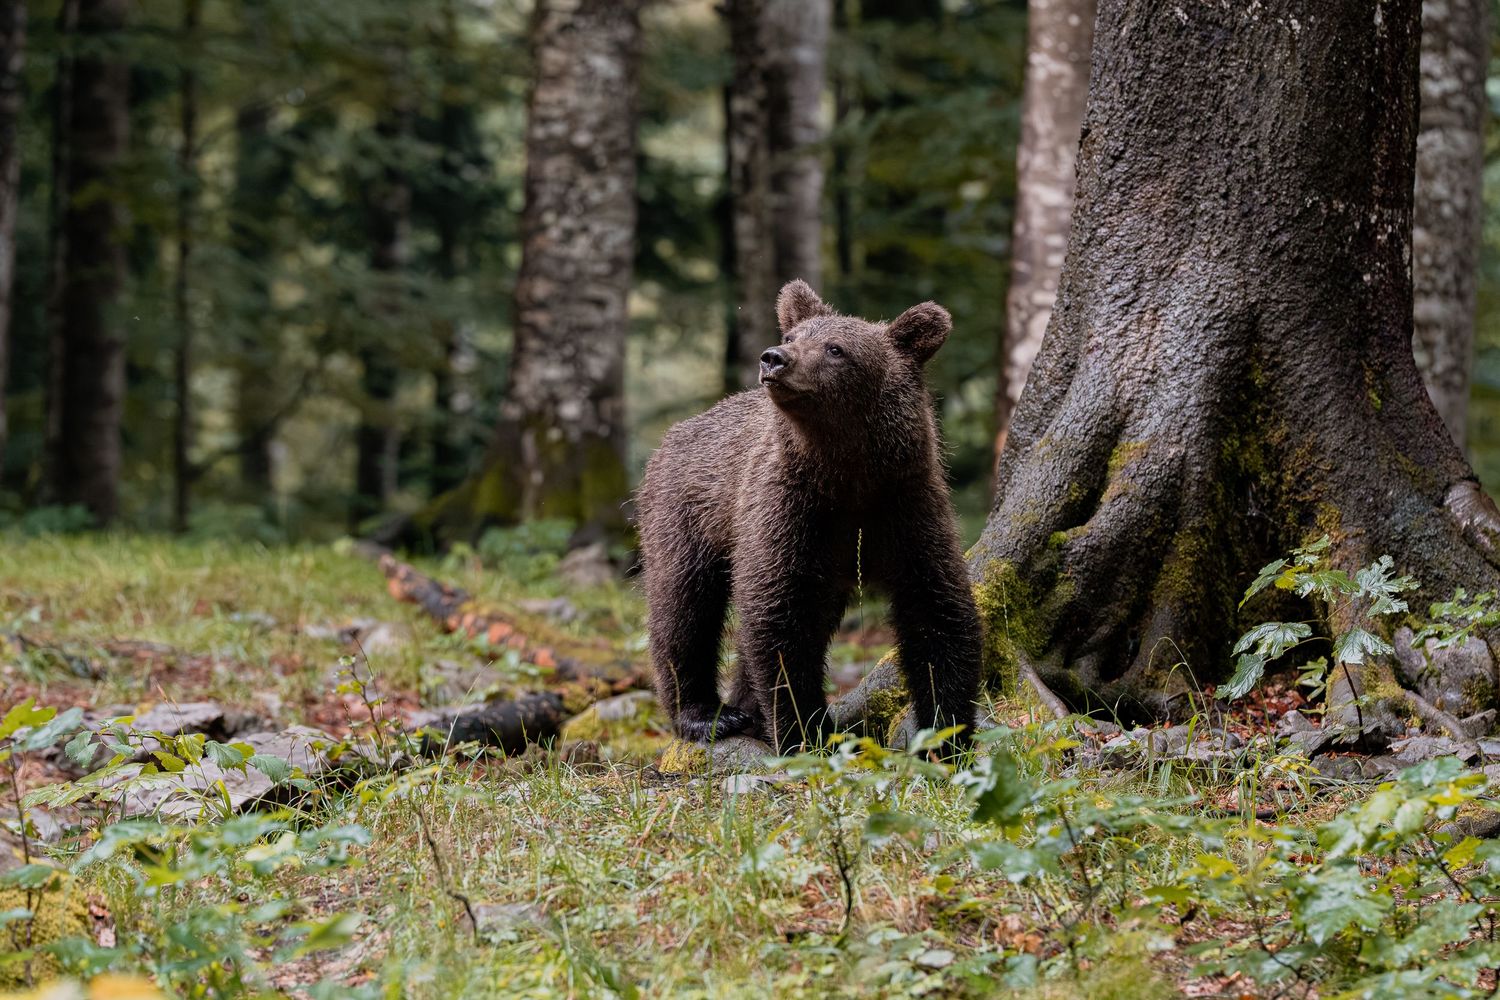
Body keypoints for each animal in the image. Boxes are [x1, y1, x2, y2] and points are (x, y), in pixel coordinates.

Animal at [636, 279, 981, 753]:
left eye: (835, 348)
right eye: (791, 335)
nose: (774, 358)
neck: (847, 475)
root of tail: (676, 432)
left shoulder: (906, 508)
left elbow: (936, 611)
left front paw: (946, 736)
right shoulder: (788, 511)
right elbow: (779, 617)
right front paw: (807, 732)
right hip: (686, 512)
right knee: (683, 605)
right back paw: (706, 715)